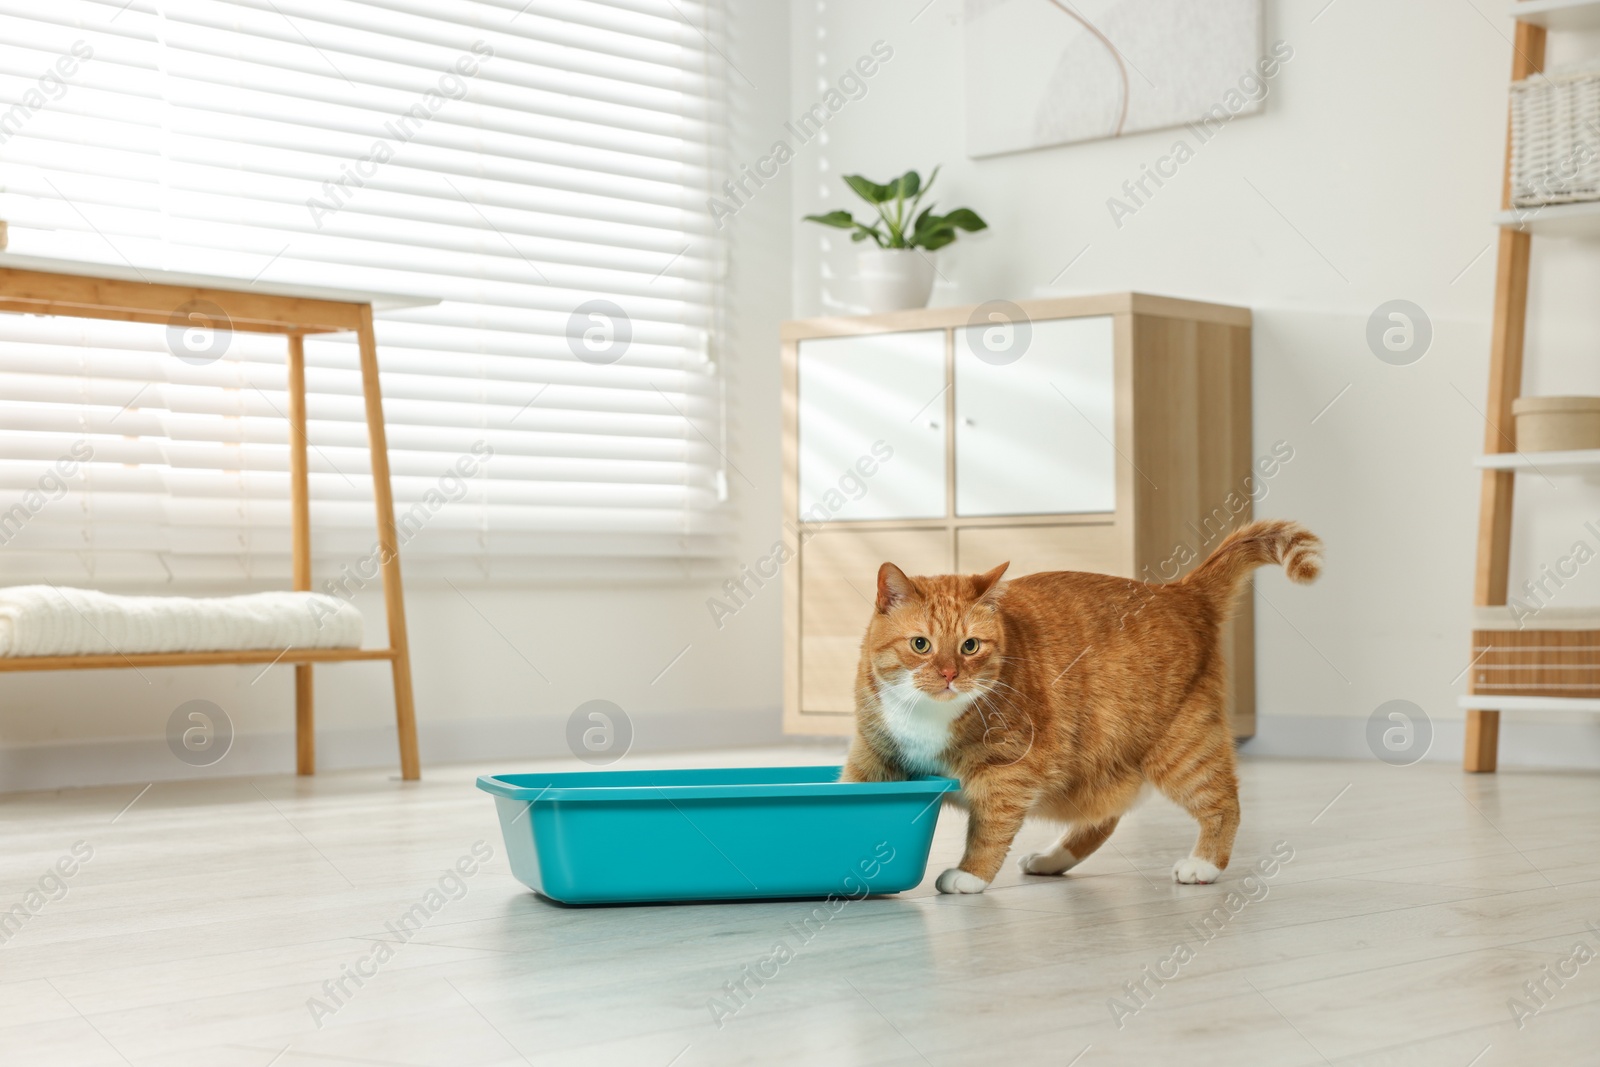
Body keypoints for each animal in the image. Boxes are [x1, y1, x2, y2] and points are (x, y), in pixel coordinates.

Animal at [844, 518, 1318, 895]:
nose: (948, 674)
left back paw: (1203, 865)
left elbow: (989, 829)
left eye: (970, 646)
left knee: (1223, 802)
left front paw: (970, 875)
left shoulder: (1007, 772)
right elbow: (854, 791)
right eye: (920, 645)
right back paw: (1052, 859)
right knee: (1104, 816)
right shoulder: (872, 756)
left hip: (1182, 749)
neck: (928, 713)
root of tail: (1180, 592)